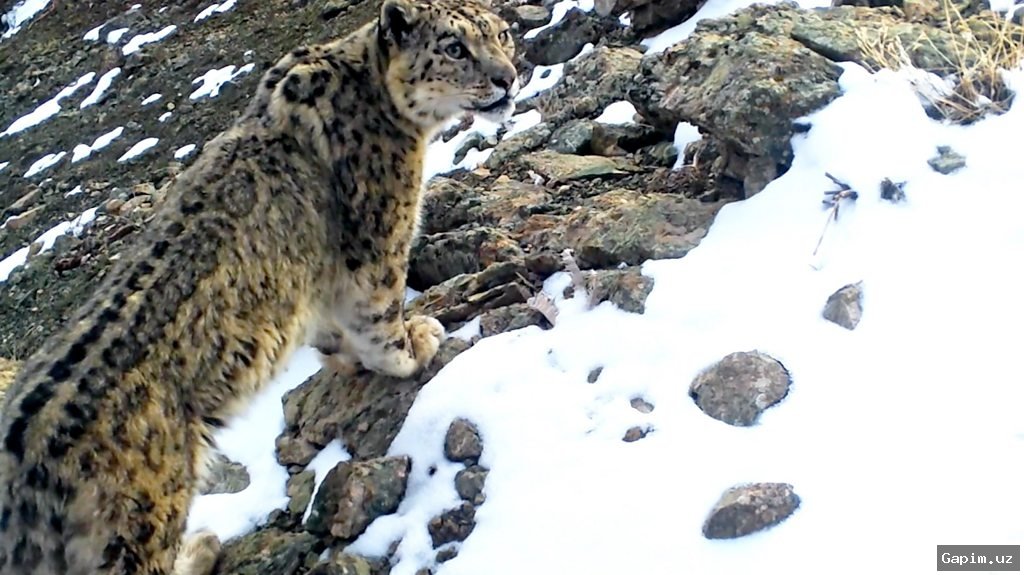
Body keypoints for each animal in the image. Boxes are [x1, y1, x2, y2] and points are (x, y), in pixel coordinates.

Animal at [0, 0, 518, 573]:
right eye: (454, 48)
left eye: (502, 34)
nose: (508, 77)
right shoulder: (378, 240)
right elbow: (379, 317)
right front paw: (414, 347)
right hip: (137, 527)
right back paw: (201, 549)